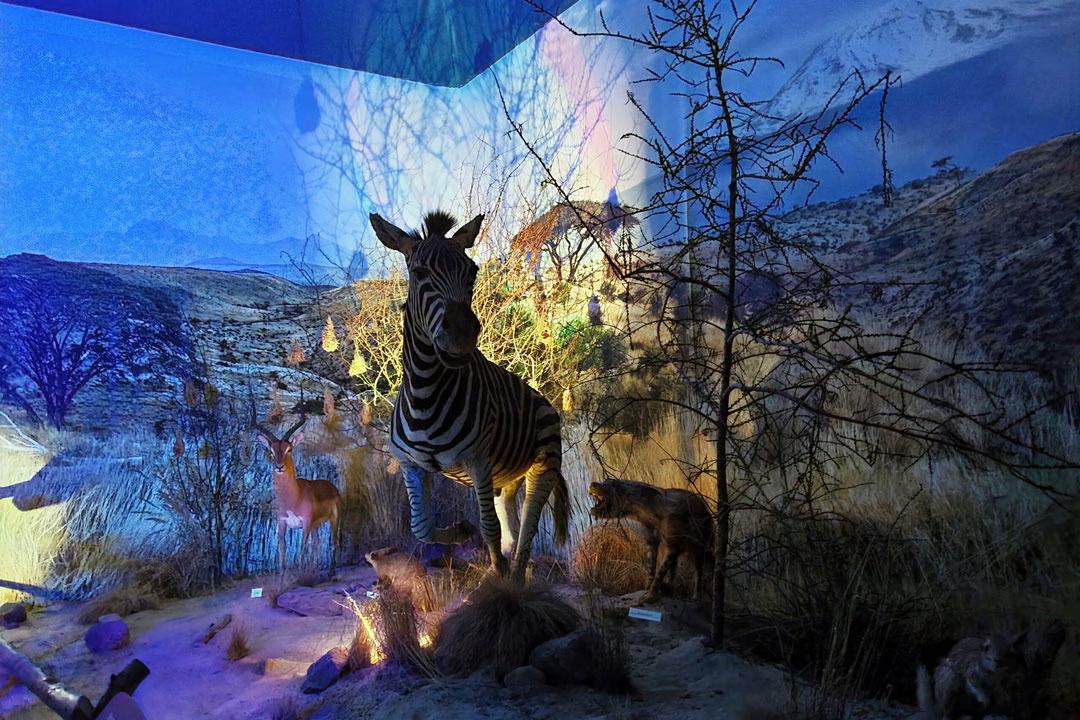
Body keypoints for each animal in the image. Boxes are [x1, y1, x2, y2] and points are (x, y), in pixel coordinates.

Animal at [368, 210, 569, 580]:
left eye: (472, 271)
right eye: (419, 273)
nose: (461, 335)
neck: (426, 392)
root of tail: (545, 401)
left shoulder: (478, 461)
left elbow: (489, 527)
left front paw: (498, 577)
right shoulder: (411, 465)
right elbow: (420, 526)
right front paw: (462, 530)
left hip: (543, 465)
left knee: (528, 527)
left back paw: (514, 580)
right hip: (507, 476)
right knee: (512, 523)